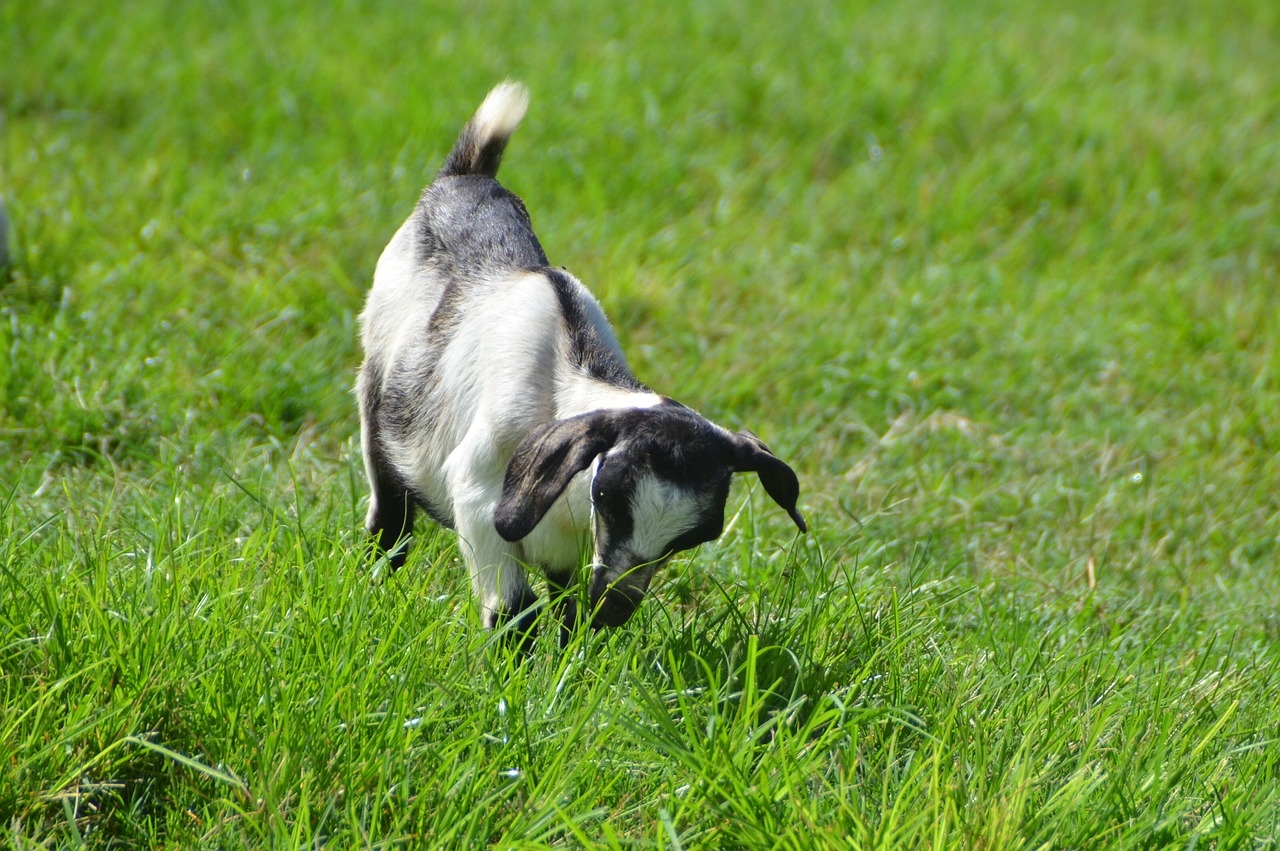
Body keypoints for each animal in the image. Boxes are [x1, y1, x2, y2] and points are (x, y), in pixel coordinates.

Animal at [355, 83, 803, 647]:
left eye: (695, 536)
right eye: (609, 494)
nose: (614, 608)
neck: (561, 383)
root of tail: (465, 176)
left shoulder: (569, 547)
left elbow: (566, 609)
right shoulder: (480, 499)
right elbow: (514, 612)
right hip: (377, 392)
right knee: (389, 516)